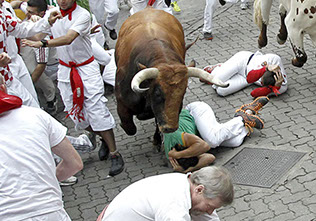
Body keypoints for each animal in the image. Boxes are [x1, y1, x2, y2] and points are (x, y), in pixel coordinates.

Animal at [115, 8, 226, 142]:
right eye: (158, 93)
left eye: (183, 92)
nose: (170, 128)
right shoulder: (122, 104)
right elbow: (130, 128)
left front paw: (157, 138)